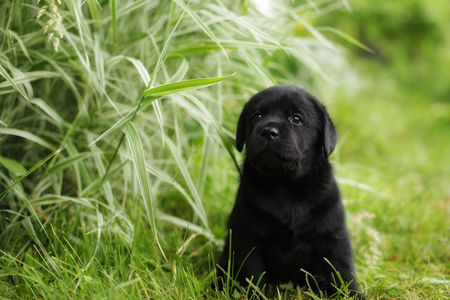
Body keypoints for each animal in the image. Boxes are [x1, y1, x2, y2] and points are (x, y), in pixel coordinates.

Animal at [216, 85, 364, 298]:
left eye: (296, 118)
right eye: (256, 116)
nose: (268, 131)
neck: (285, 185)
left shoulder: (333, 234)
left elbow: (341, 269)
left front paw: (351, 294)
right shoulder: (246, 235)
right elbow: (250, 272)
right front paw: (252, 294)